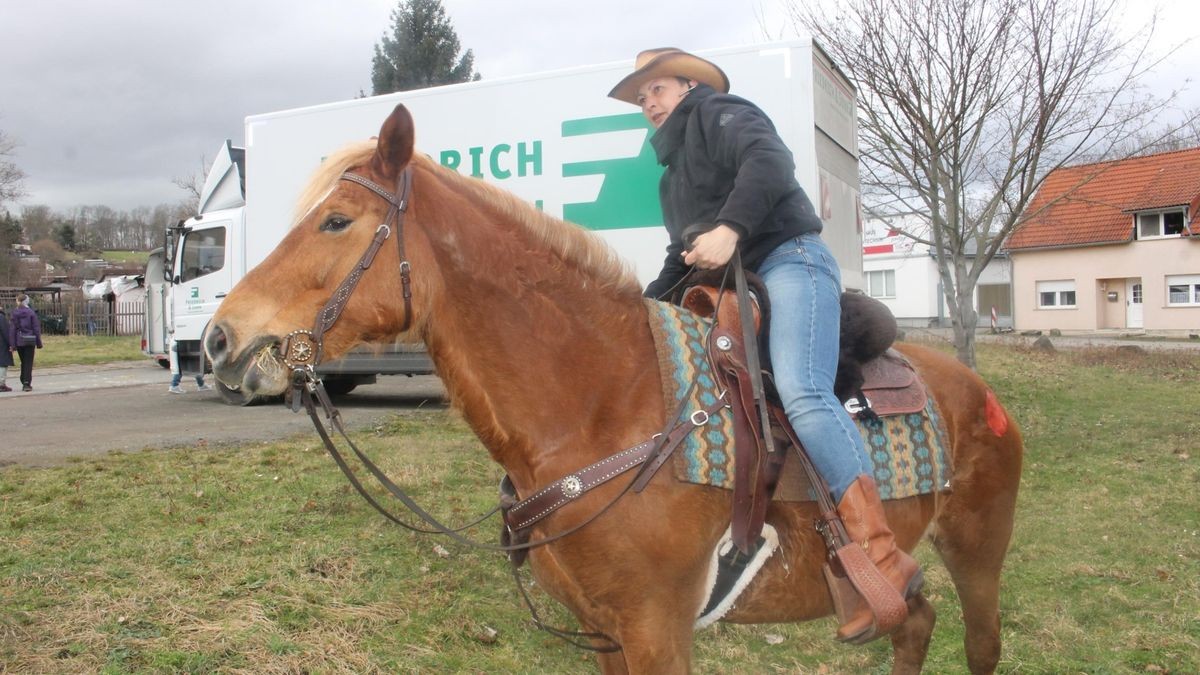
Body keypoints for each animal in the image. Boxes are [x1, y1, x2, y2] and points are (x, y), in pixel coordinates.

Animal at [206, 105, 1022, 672]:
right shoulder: (603, 630)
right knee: (914, 626)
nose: (219, 338)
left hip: (979, 556)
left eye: (337, 221)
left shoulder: (658, 630)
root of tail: (976, 390)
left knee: (979, 643)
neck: (605, 408)